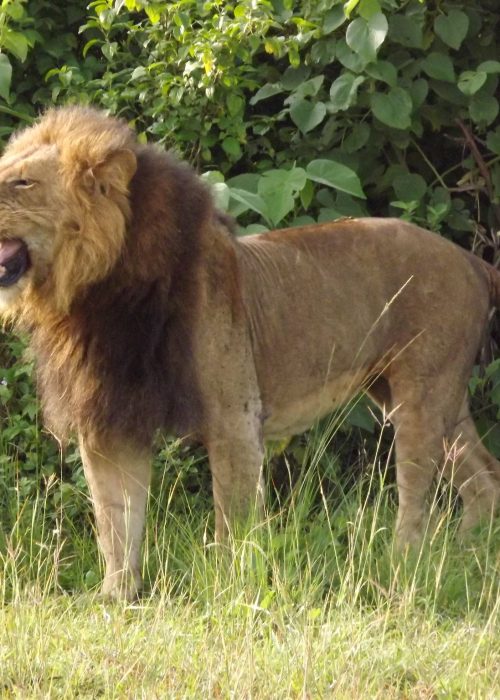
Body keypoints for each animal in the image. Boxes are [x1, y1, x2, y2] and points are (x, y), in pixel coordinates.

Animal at [0, 106, 498, 600]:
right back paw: (467, 557)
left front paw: (228, 589)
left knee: (417, 498)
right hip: (427, 400)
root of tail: (469, 259)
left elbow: (232, 522)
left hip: (422, 398)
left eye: (22, 182)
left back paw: (401, 571)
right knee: (485, 476)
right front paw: (116, 597)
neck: (94, 293)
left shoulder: (233, 418)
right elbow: (115, 520)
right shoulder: (111, 423)